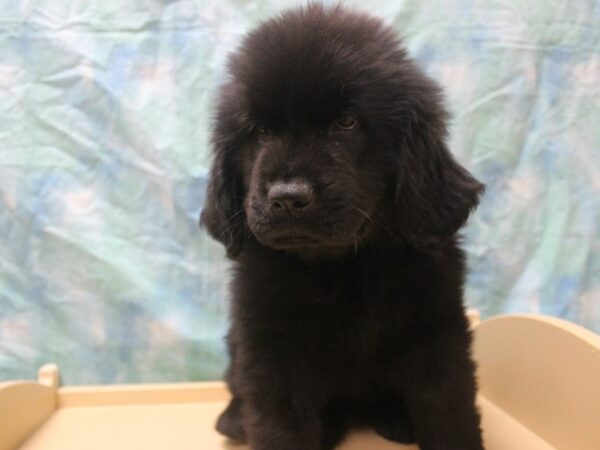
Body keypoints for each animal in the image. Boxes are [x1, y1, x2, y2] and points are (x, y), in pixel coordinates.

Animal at [204, 3, 486, 450]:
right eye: (260, 131)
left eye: (346, 122)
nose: (286, 197)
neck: (341, 267)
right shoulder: (269, 346)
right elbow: (280, 422)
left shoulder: (438, 332)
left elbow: (448, 410)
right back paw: (235, 420)